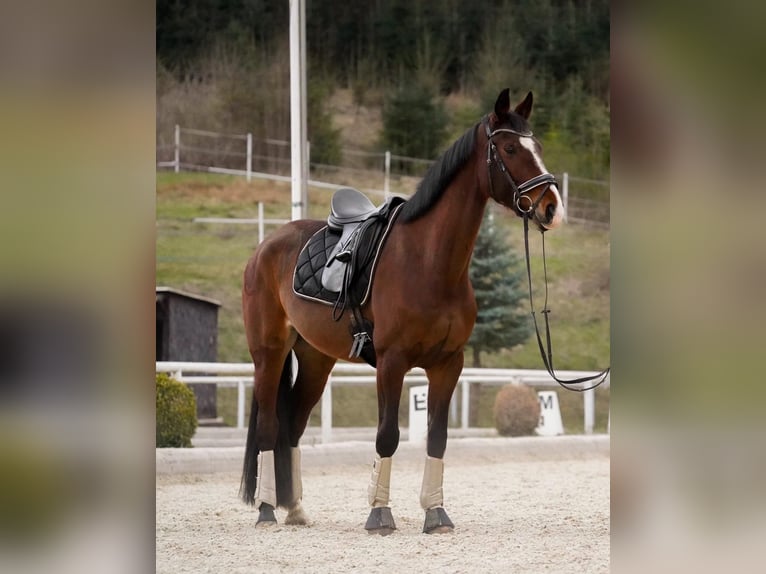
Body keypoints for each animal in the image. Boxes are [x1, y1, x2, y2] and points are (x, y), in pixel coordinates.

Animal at [243, 89, 568, 536]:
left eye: (537, 146)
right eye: (509, 148)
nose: (552, 207)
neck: (429, 263)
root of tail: (265, 247)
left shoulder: (448, 364)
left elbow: (437, 437)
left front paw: (436, 514)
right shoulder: (392, 362)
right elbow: (387, 436)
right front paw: (379, 514)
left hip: (315, 359)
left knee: (292, 424)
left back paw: (295, 509)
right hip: (269, 354)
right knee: (269, 427)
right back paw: (266, 510)